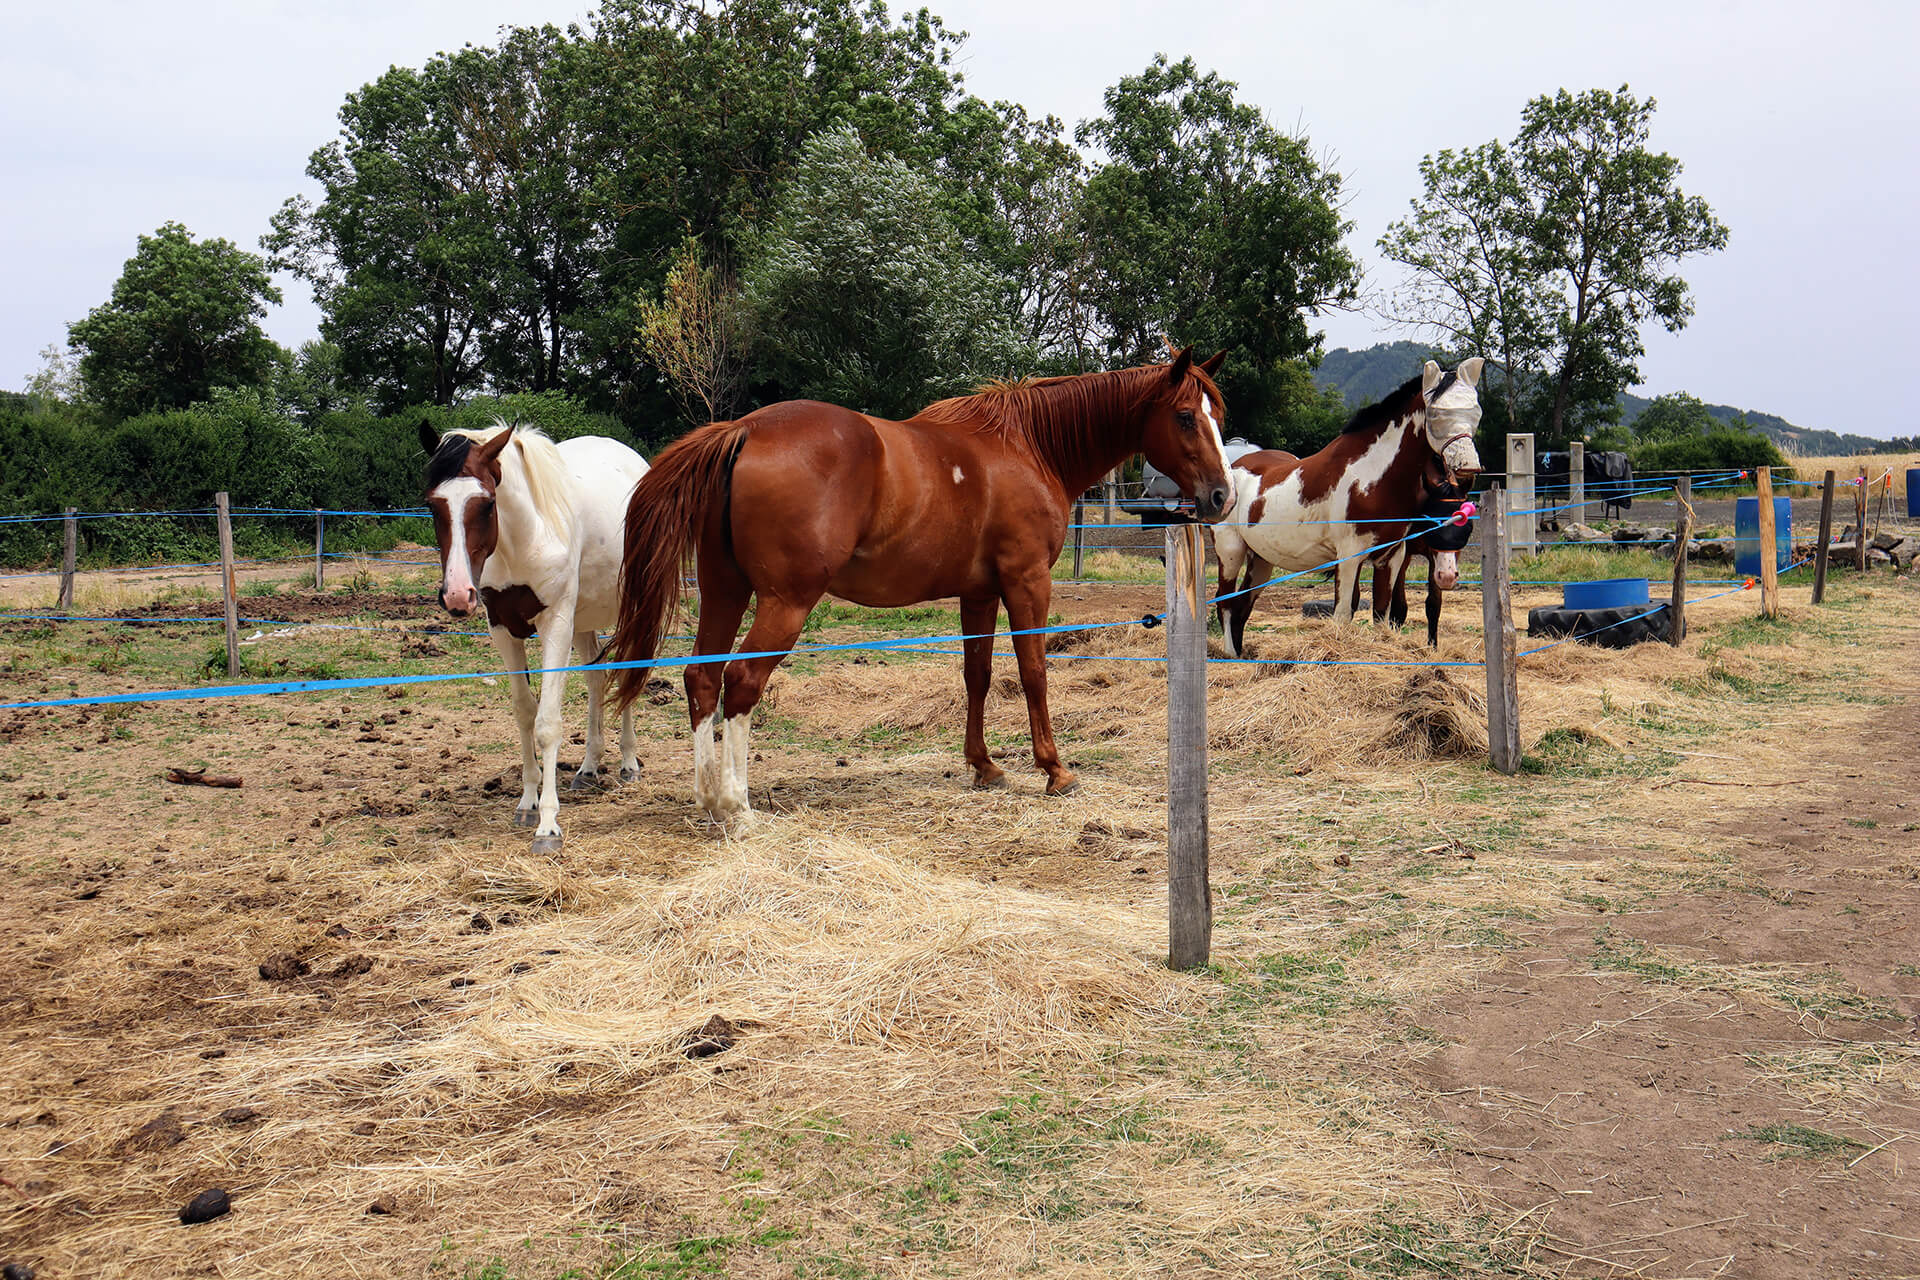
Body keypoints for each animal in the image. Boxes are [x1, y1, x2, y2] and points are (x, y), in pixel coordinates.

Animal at [418, 421, 650, 853]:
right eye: (432, 505)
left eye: (486, 504)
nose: (457, 596)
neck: (523, 540)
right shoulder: (502, 628)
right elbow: (525, 713)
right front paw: (528, 803)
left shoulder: (555, 624)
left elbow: (547, 723)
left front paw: (548, 825)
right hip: (583, 621)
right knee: (596, 678)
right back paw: (589, 767)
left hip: (631, 608)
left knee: (628, 670)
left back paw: (628, 763)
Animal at [606, 349, 1235, 820]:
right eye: (1185, 415)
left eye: (1217, 414)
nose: (1221, 496)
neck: (1028, 446)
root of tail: (744, 430)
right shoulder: (1027, 583)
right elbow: (1033, 672)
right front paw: (1055, 769)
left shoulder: (978, 592)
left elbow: (978, 675)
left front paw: (984, 766)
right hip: (785, 603)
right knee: (739, 683)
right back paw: (736, 806)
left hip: (725, 593)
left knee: (702, 678)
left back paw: (708, 797)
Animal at [1212, 359, 1484, 658]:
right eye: (1436, 413)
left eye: (1476, 410)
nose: (1469, 467)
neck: (1372, 476)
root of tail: (1233, 469)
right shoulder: (1349, 555)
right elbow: (1343, 613)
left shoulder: (1392, 556)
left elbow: (1382, 613)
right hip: (1230, 551)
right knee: (1224, 601)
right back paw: (1230, 656)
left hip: (1261, 559)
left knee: (1242, 603)